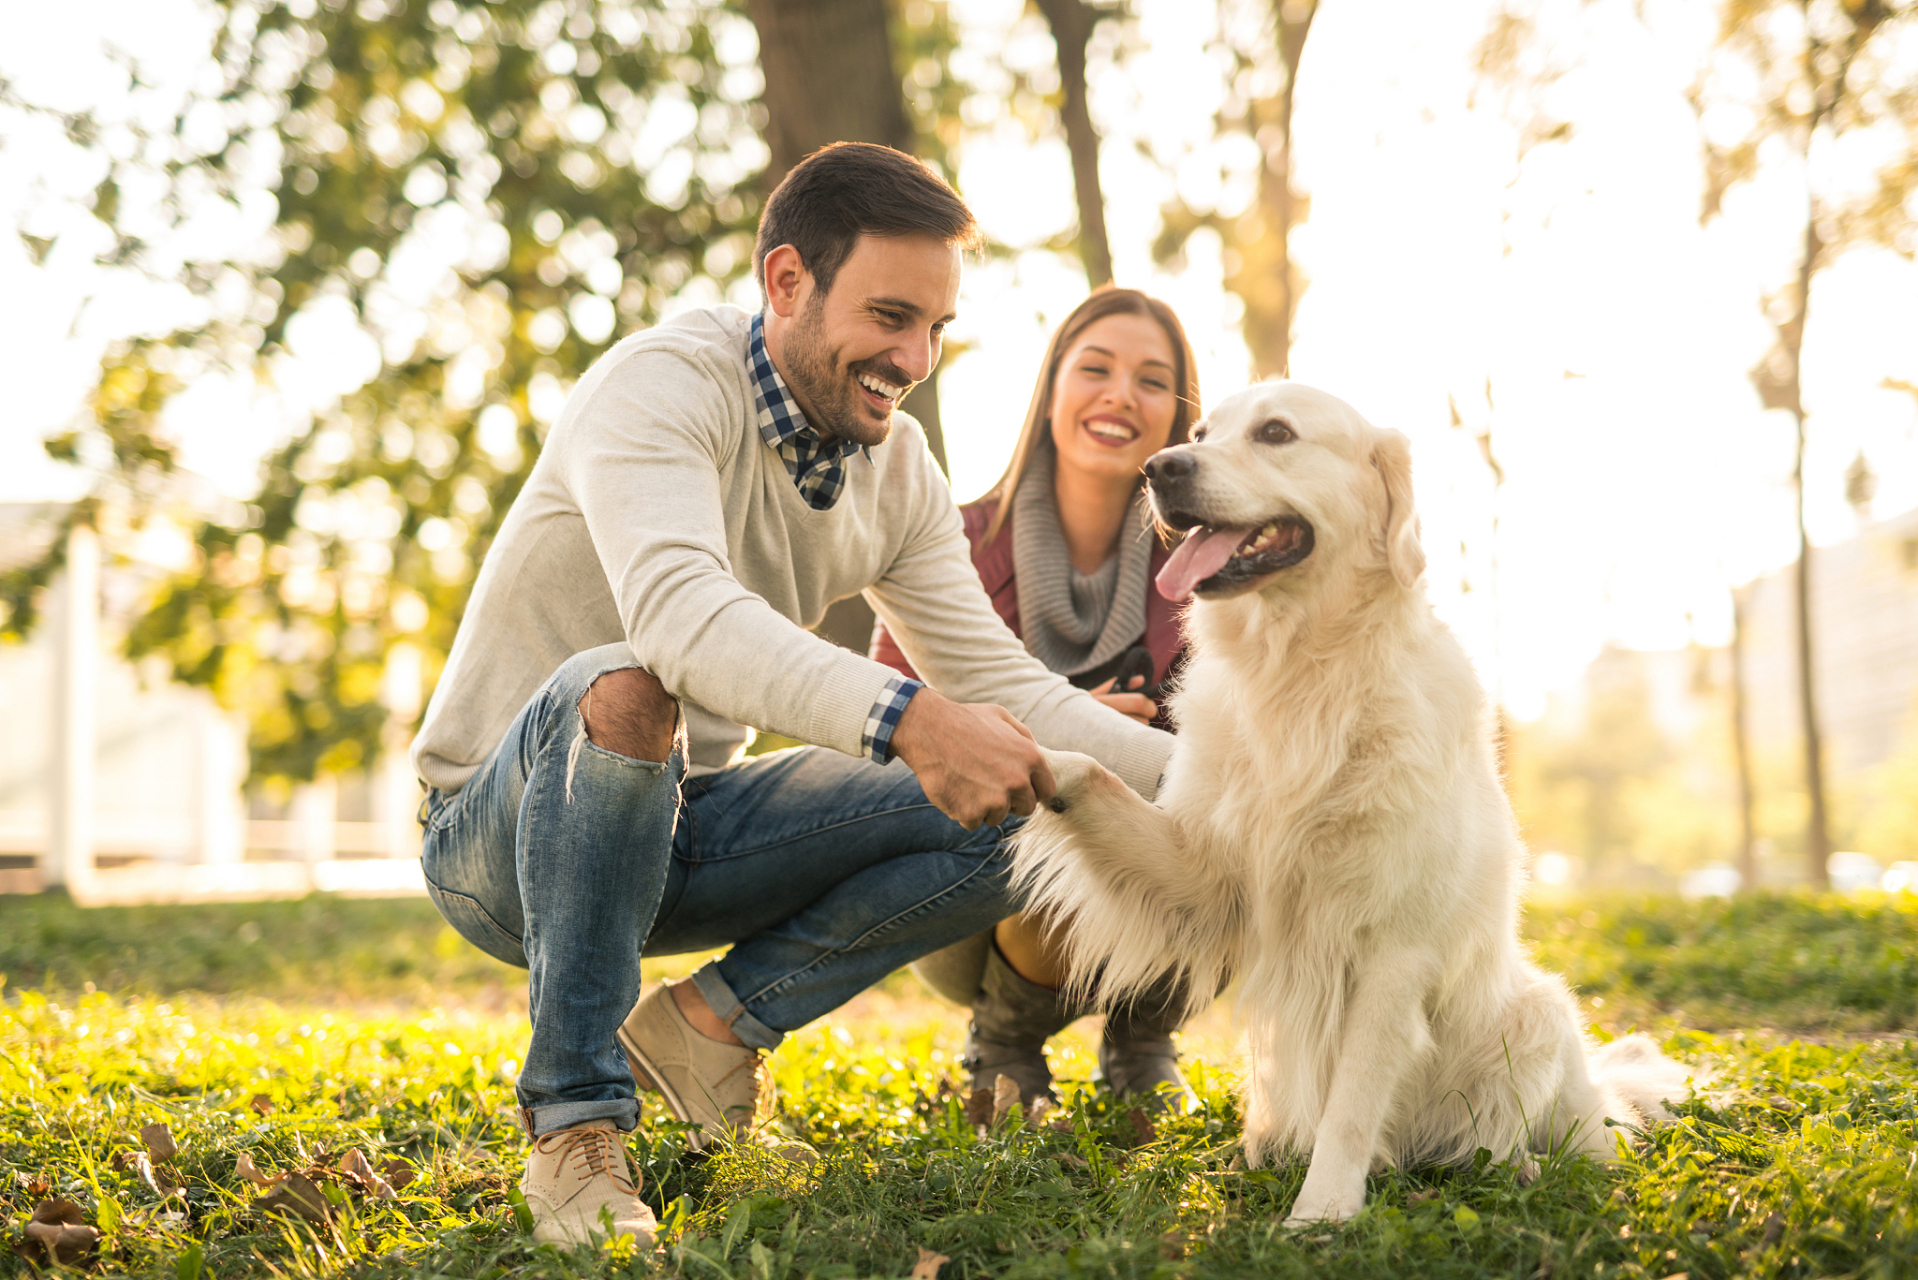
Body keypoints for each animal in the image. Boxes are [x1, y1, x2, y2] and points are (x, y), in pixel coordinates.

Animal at [1012, 385, 1687, 1228]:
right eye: (1200, 431)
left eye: (1275, 432)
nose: (1159, 468)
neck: (1304, 671)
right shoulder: (1207, 874)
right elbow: (1093, 777)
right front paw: (1004, 747)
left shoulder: (1393, 949)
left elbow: (1353, 1102)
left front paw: (1322, 1213)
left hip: (1539, 1015)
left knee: (1567, 1143)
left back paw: (1525, 1168)